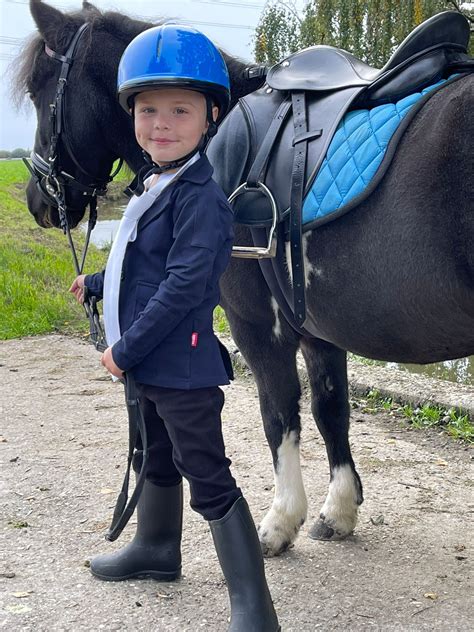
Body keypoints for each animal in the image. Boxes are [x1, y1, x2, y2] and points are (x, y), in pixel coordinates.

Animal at [16, 0, 472, 556]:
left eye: (40, 92)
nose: (38, 200)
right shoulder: (316, 328)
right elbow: (331, 410)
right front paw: (339, 510)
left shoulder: (257, 324)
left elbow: (278, 413)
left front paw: (280, 522)